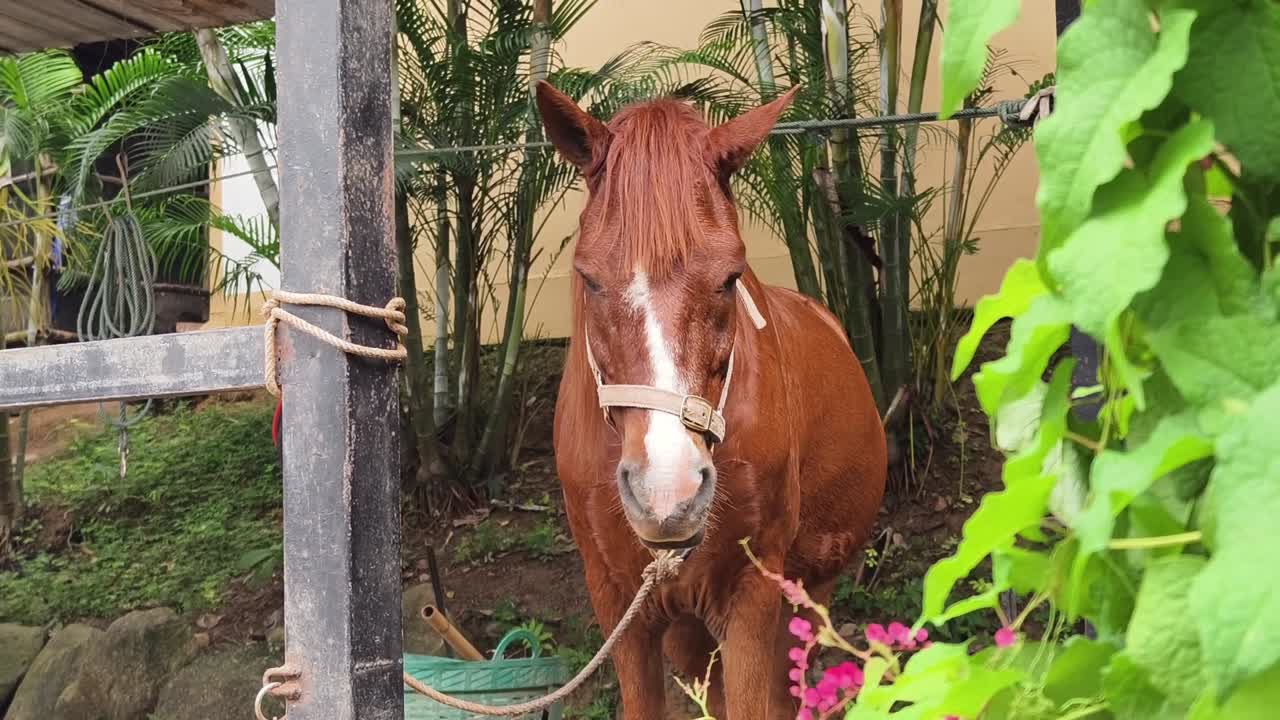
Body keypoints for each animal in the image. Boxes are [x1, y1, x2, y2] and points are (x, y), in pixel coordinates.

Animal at [536, 80, 887, 720]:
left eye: (729, 277)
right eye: (589, 278)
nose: (667, 491)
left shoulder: (751, 594)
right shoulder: (621, 604)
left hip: (805, 592)